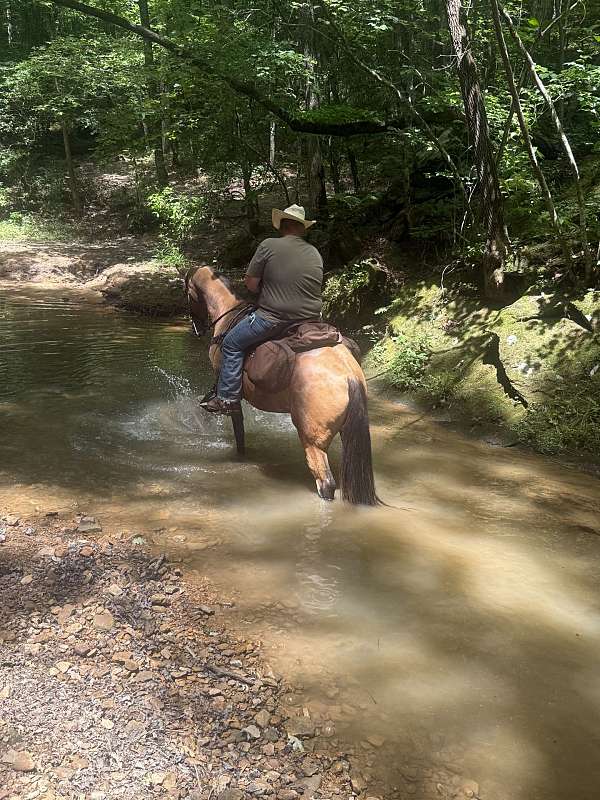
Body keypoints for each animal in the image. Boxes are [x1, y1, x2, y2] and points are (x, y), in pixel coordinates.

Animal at [185, 265, 378, 505]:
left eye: (187, 293)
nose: (196, 328)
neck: (228, 313)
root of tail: (349, 376)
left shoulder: (229, 394)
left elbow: (237, 431)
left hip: (312, 441)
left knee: (325, 483)